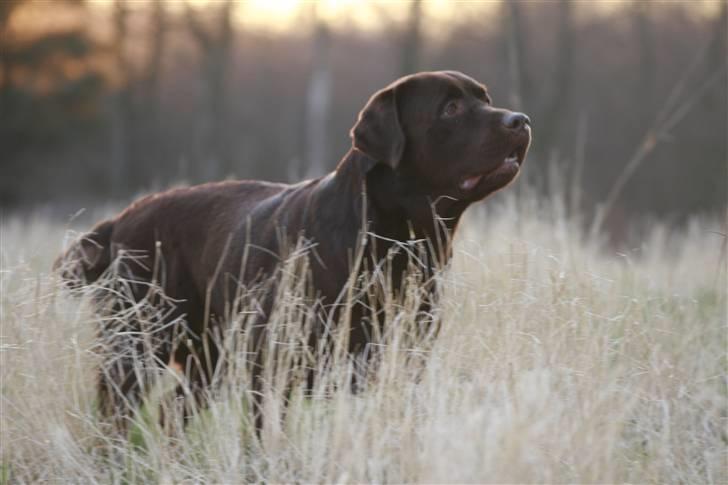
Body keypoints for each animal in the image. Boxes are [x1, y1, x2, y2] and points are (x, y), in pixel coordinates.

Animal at [55, 69, 528, 428]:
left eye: (485, 98)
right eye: (450, 108)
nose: (520, 120)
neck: (390, 242)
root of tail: (120, 220)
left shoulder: (402, 358)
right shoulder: (272, 369)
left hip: (208, 359)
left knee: (173, 411)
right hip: (135, 345)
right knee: (114, 418)